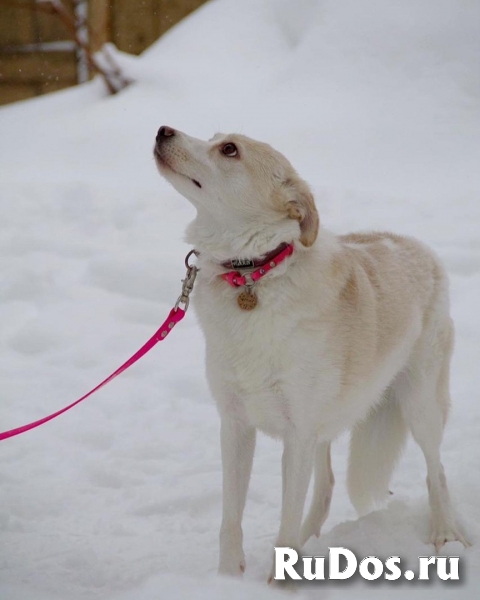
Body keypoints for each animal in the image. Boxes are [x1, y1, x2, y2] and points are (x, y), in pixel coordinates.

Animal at [154, 124, 468, 580]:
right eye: (213, 137)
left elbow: (284, 521)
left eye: (229, 149)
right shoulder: (236, 426)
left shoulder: (298, 436)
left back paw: (445, 534)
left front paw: (278, 584)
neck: (254, 274)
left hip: (420, 405)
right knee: (326, 488)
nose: (163, 130)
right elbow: (231, 519)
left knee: (436, 470)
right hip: (329, 421)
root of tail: (414, 245)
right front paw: (229, 578)